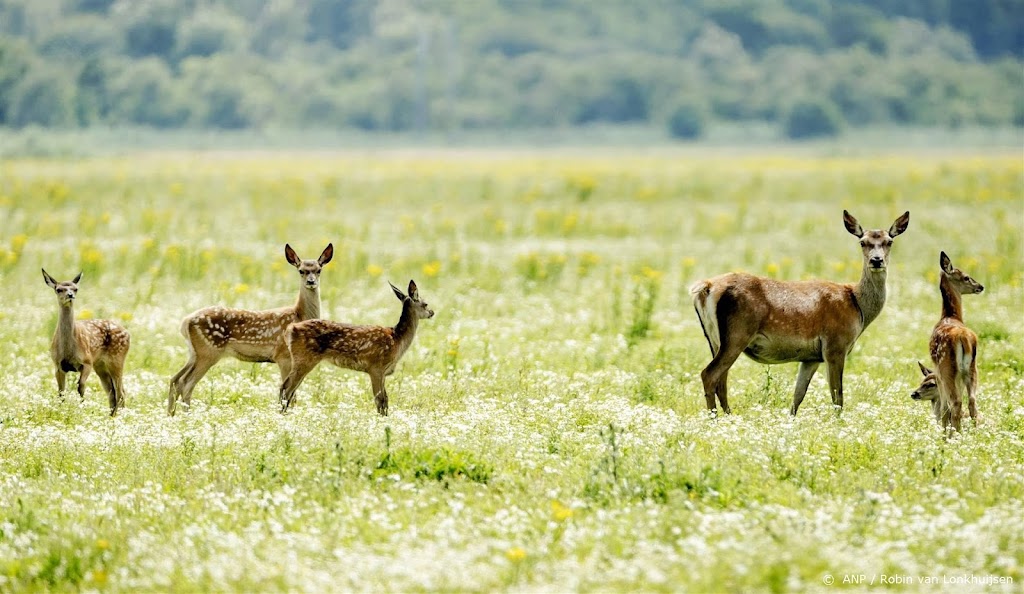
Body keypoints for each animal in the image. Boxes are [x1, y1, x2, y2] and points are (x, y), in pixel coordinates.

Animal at [42, 268, 131, 413]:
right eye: (59, 289)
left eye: (75, 288)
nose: (70, 295)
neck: (68, 349)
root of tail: (128, 332)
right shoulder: (57, 364)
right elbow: (61, 392)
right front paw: (60, 411)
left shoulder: (87, 362)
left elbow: (80, 387)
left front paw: (81, 408)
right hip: (101, 365)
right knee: (112, 392)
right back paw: (112, 415)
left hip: (117, 359)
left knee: (121, 392)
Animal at [168, 243, 331, 415]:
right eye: (301, 270)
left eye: (319, 270)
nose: (311, 282)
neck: (299, 315)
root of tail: (185, 321)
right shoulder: (283, 356)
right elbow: (289, 393)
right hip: (208, 351)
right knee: (186, 383)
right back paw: (186, 415)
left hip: (194, 353)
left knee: (175, 379)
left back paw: (171, 415)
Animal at [280, 280, 436, 415]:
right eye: (425, 304)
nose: (432, 312)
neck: (397, 340)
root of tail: (290, 329)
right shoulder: (376, 368)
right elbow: (380, 400)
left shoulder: (382, 372)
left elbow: (385, 399)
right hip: (304, 358)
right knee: (286, 388)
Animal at [692, 210, 909, 415]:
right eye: (863, 242)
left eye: (889, 241)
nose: (876, 260)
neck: (858, 307)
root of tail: (706, 287)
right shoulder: (835, 345)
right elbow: (837, 396)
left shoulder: (811, 357)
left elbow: (798, 394)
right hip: (737, 334)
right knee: (710, 374)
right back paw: (717, 418)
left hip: (714, 338)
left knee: (721, 380)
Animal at [913, 250, 983, 432]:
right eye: (966, 277)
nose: (980, 286)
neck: (949, 316)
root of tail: (963, 337)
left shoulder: (938, 372)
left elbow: (944, 408)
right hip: (971, 369)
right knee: (972, 402)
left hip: (948, 368)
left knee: (955, 403)